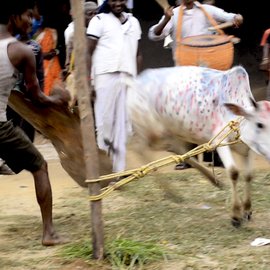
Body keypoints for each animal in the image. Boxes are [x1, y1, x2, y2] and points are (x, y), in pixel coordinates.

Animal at [127, 65, 270, 228]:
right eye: (260, 124)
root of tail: (135, 83)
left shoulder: (247, 149)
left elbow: (248, 175)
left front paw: (247, 210)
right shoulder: (219, 142)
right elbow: (234, 173)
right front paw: (236, 215)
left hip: (169, 131)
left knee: (176, 150)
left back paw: (214, 181)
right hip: (150, 131)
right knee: (141, 150)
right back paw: (171, 192)